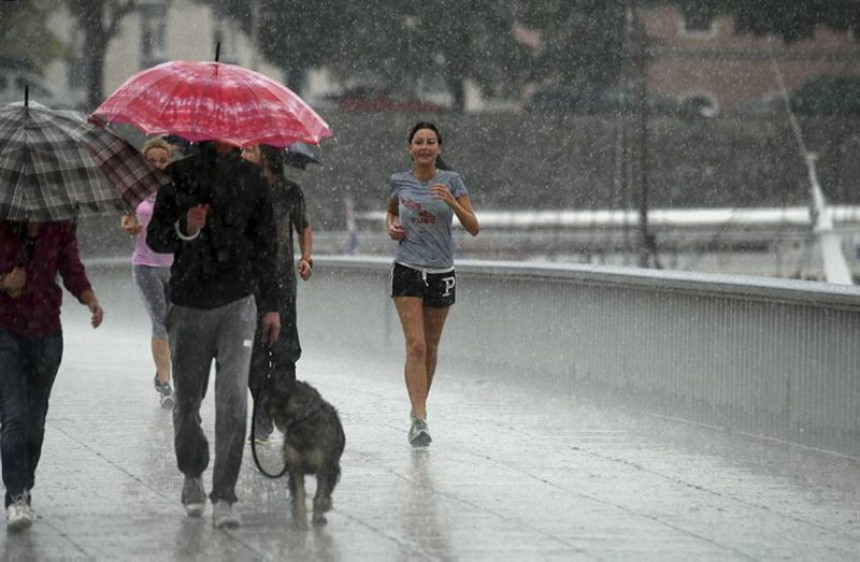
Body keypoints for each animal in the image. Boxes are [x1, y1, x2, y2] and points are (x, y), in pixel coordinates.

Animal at [260, 376, 344, 524]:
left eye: (270, 395)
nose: (261, 404)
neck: (303, 421)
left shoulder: (325, 467)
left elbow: (321, 494)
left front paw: (319, 514)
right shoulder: (295, 466)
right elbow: (299, 494)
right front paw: (299, 518)